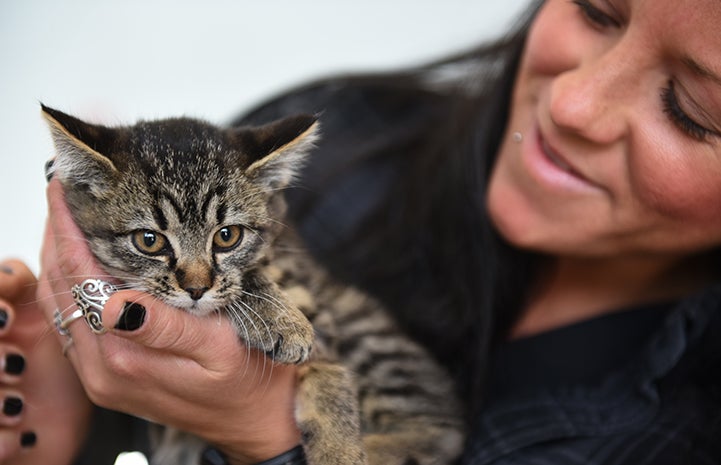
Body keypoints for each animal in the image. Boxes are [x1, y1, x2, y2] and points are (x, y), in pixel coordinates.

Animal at [43, 104, 462, 464]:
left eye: (227, 236)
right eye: (149, 240)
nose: (196, 288)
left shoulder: (320, 314)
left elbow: (325, 367)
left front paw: (338, 449)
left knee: (444, 430)